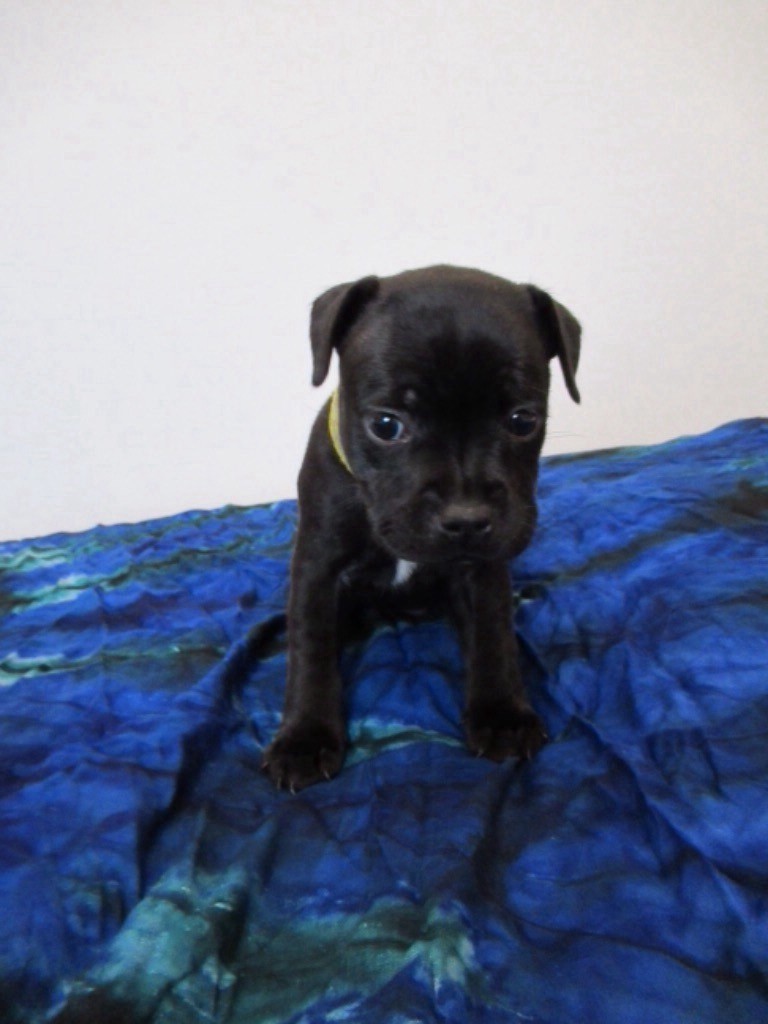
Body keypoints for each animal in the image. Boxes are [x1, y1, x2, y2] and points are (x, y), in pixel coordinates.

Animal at [262, 265, 581, 792]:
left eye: (523, 420)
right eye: (386, 425)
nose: (467, 517)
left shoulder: (483, 570)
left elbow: (493, 635)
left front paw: (501, 714)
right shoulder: (317, 567)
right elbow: (309, 650)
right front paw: (305, 738)